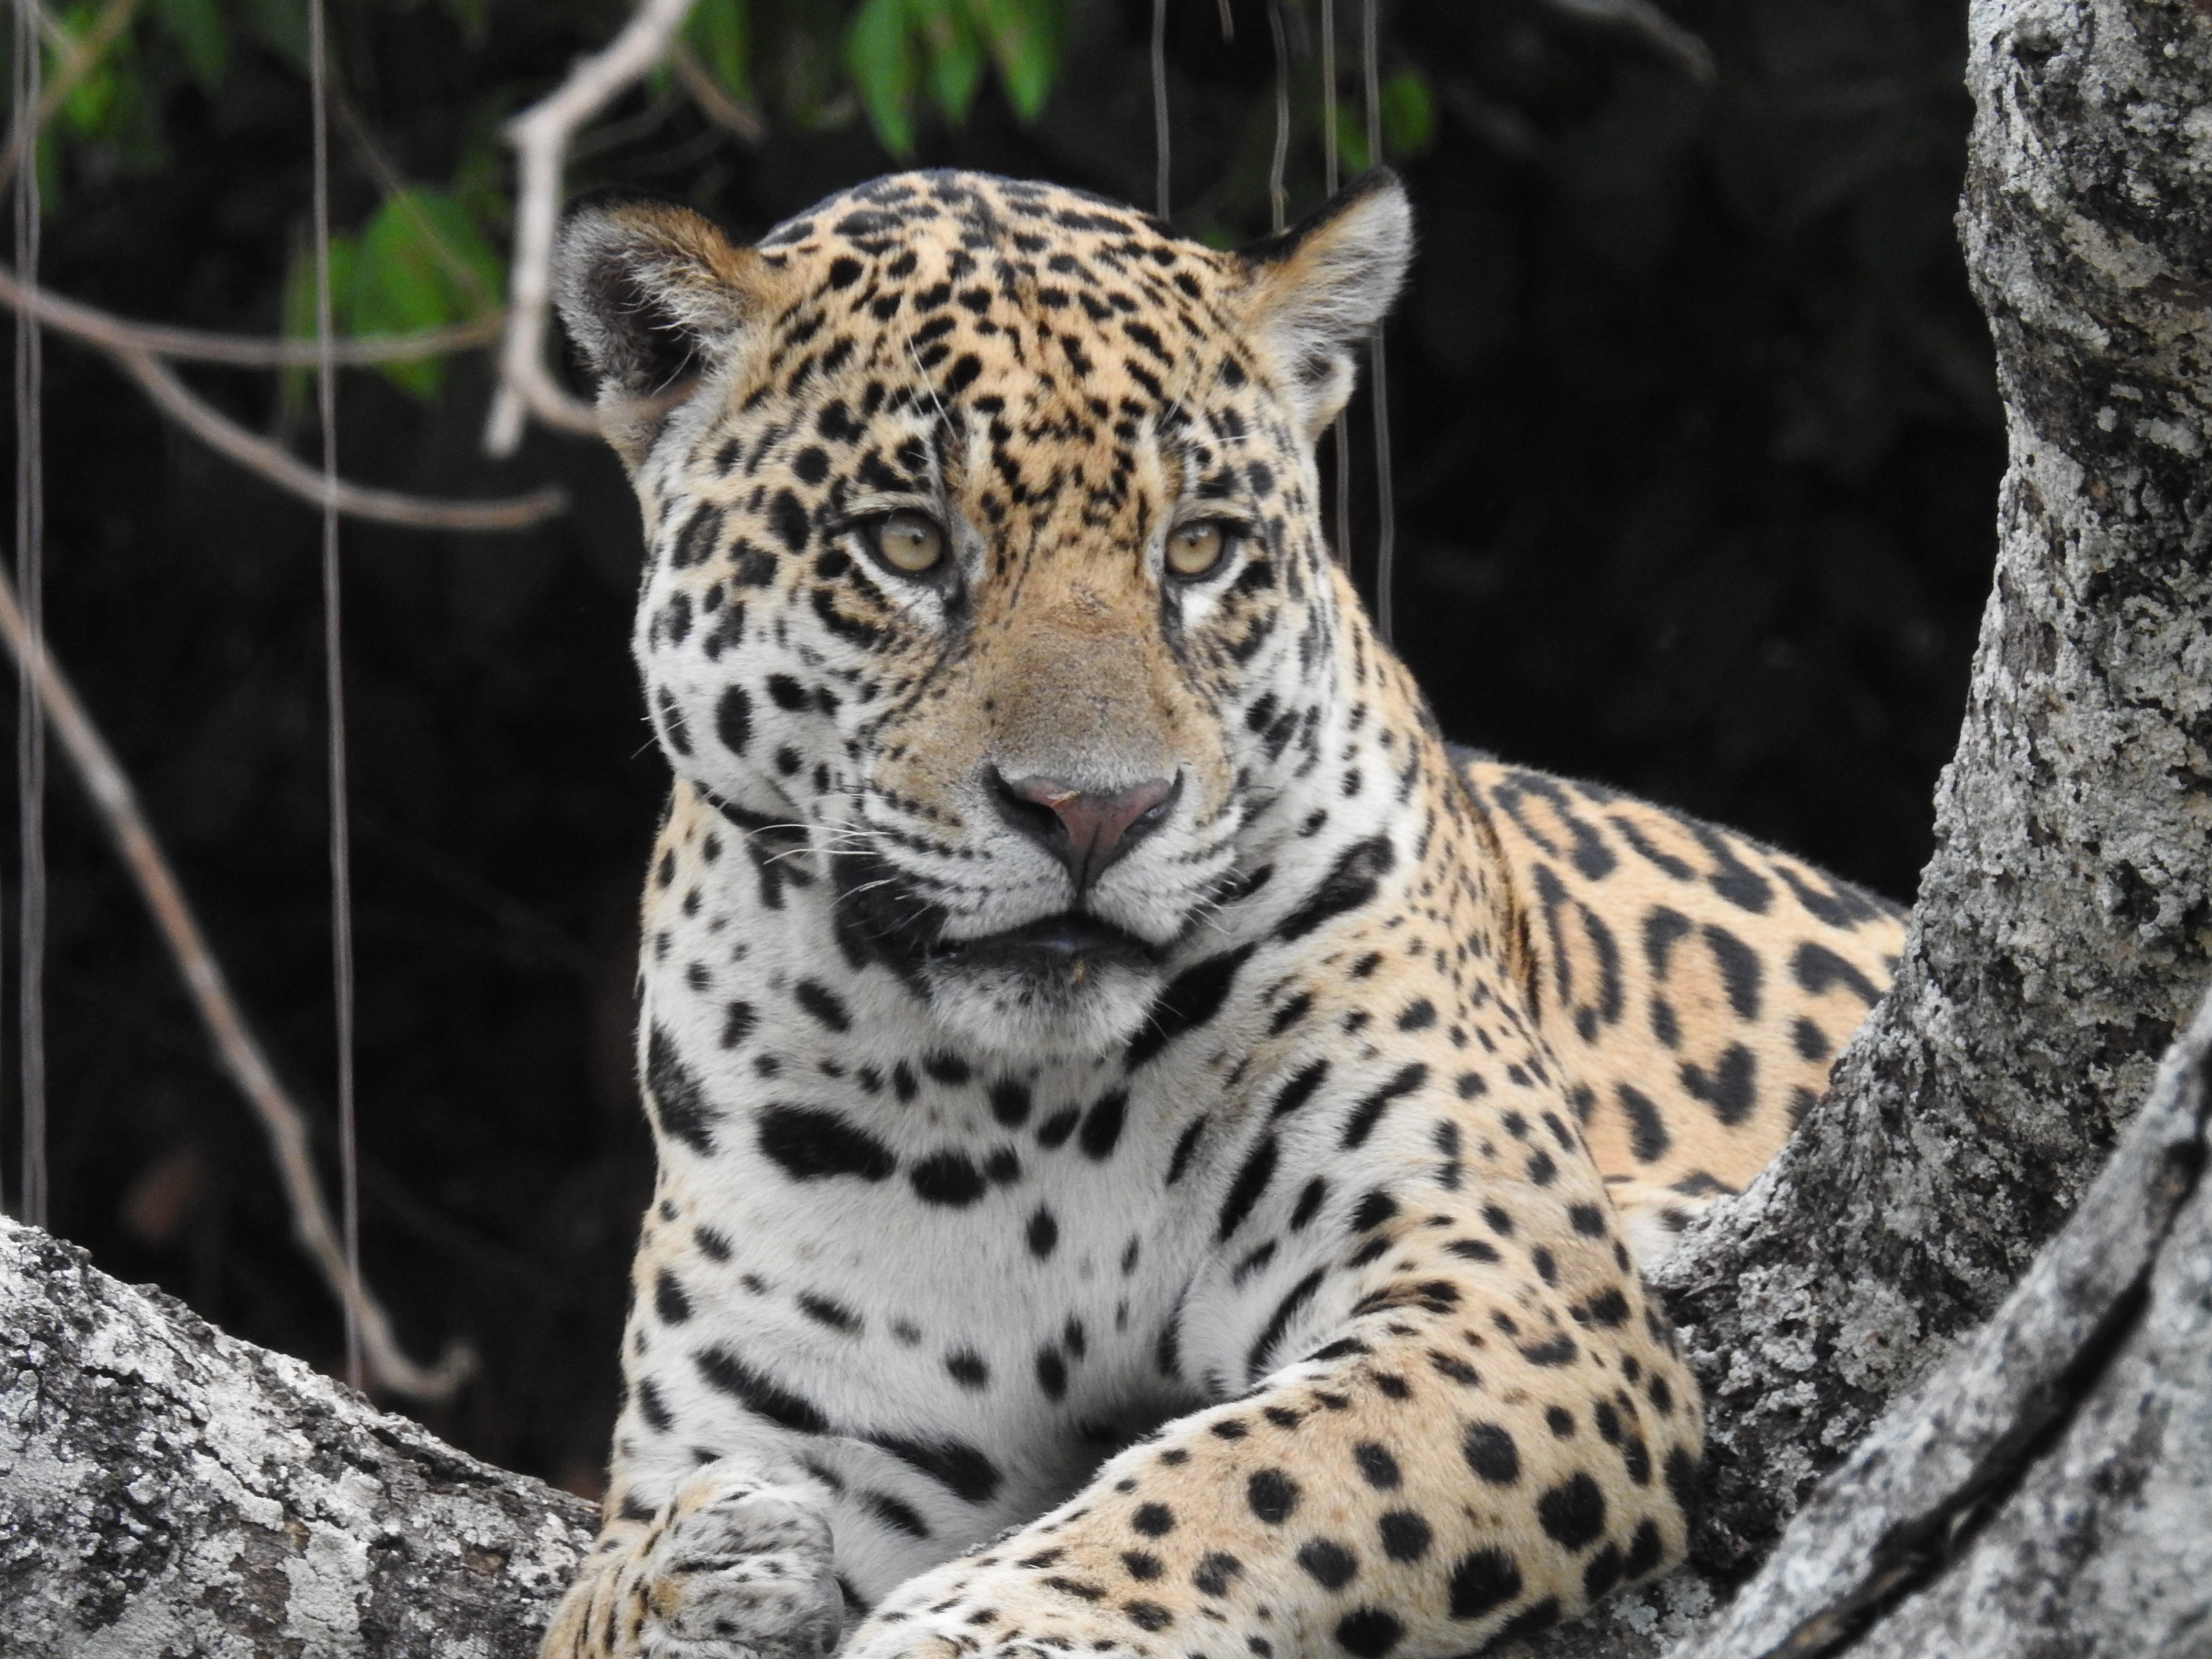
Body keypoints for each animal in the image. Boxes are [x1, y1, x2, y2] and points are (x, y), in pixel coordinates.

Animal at [540, 168, 1905, 1659]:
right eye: (906, 541)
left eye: (1197, 549)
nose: (1093, 811)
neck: (1002, 1105)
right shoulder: (813, 1422)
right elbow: (595, 1594)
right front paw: (690, 1570)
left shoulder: (1521, 1294)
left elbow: (1258, 1471)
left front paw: (982, 1623)